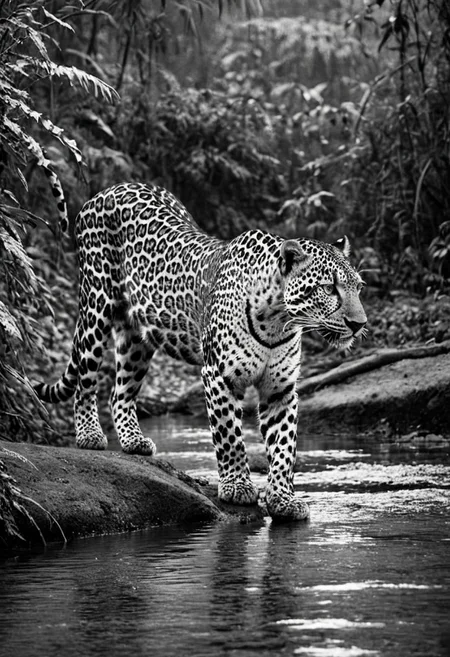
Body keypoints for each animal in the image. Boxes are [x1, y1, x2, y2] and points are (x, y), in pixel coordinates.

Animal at [34, 182, 367, 522]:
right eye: (329, 288)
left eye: (359, 288)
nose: (359, 324)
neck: (278, 320)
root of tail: (107, 190)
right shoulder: (219, 375)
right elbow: (229, 435)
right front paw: (237, 487)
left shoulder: (281, 389)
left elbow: (284, 446)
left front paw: (283, 499)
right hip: (96, 305)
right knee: (85, 380)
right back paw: (89, 435)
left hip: (136, 338)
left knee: (119, 392)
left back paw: (134, 441)